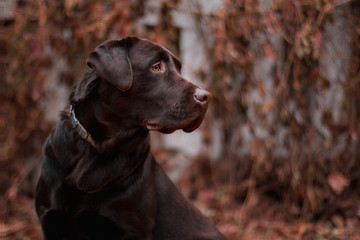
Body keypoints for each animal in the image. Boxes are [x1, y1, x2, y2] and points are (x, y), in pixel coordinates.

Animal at [35, 36, 226, 239]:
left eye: (179, 69)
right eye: (156, 67)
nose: (206, 97)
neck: (98, 147)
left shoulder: (132, 229)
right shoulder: (50, 220)